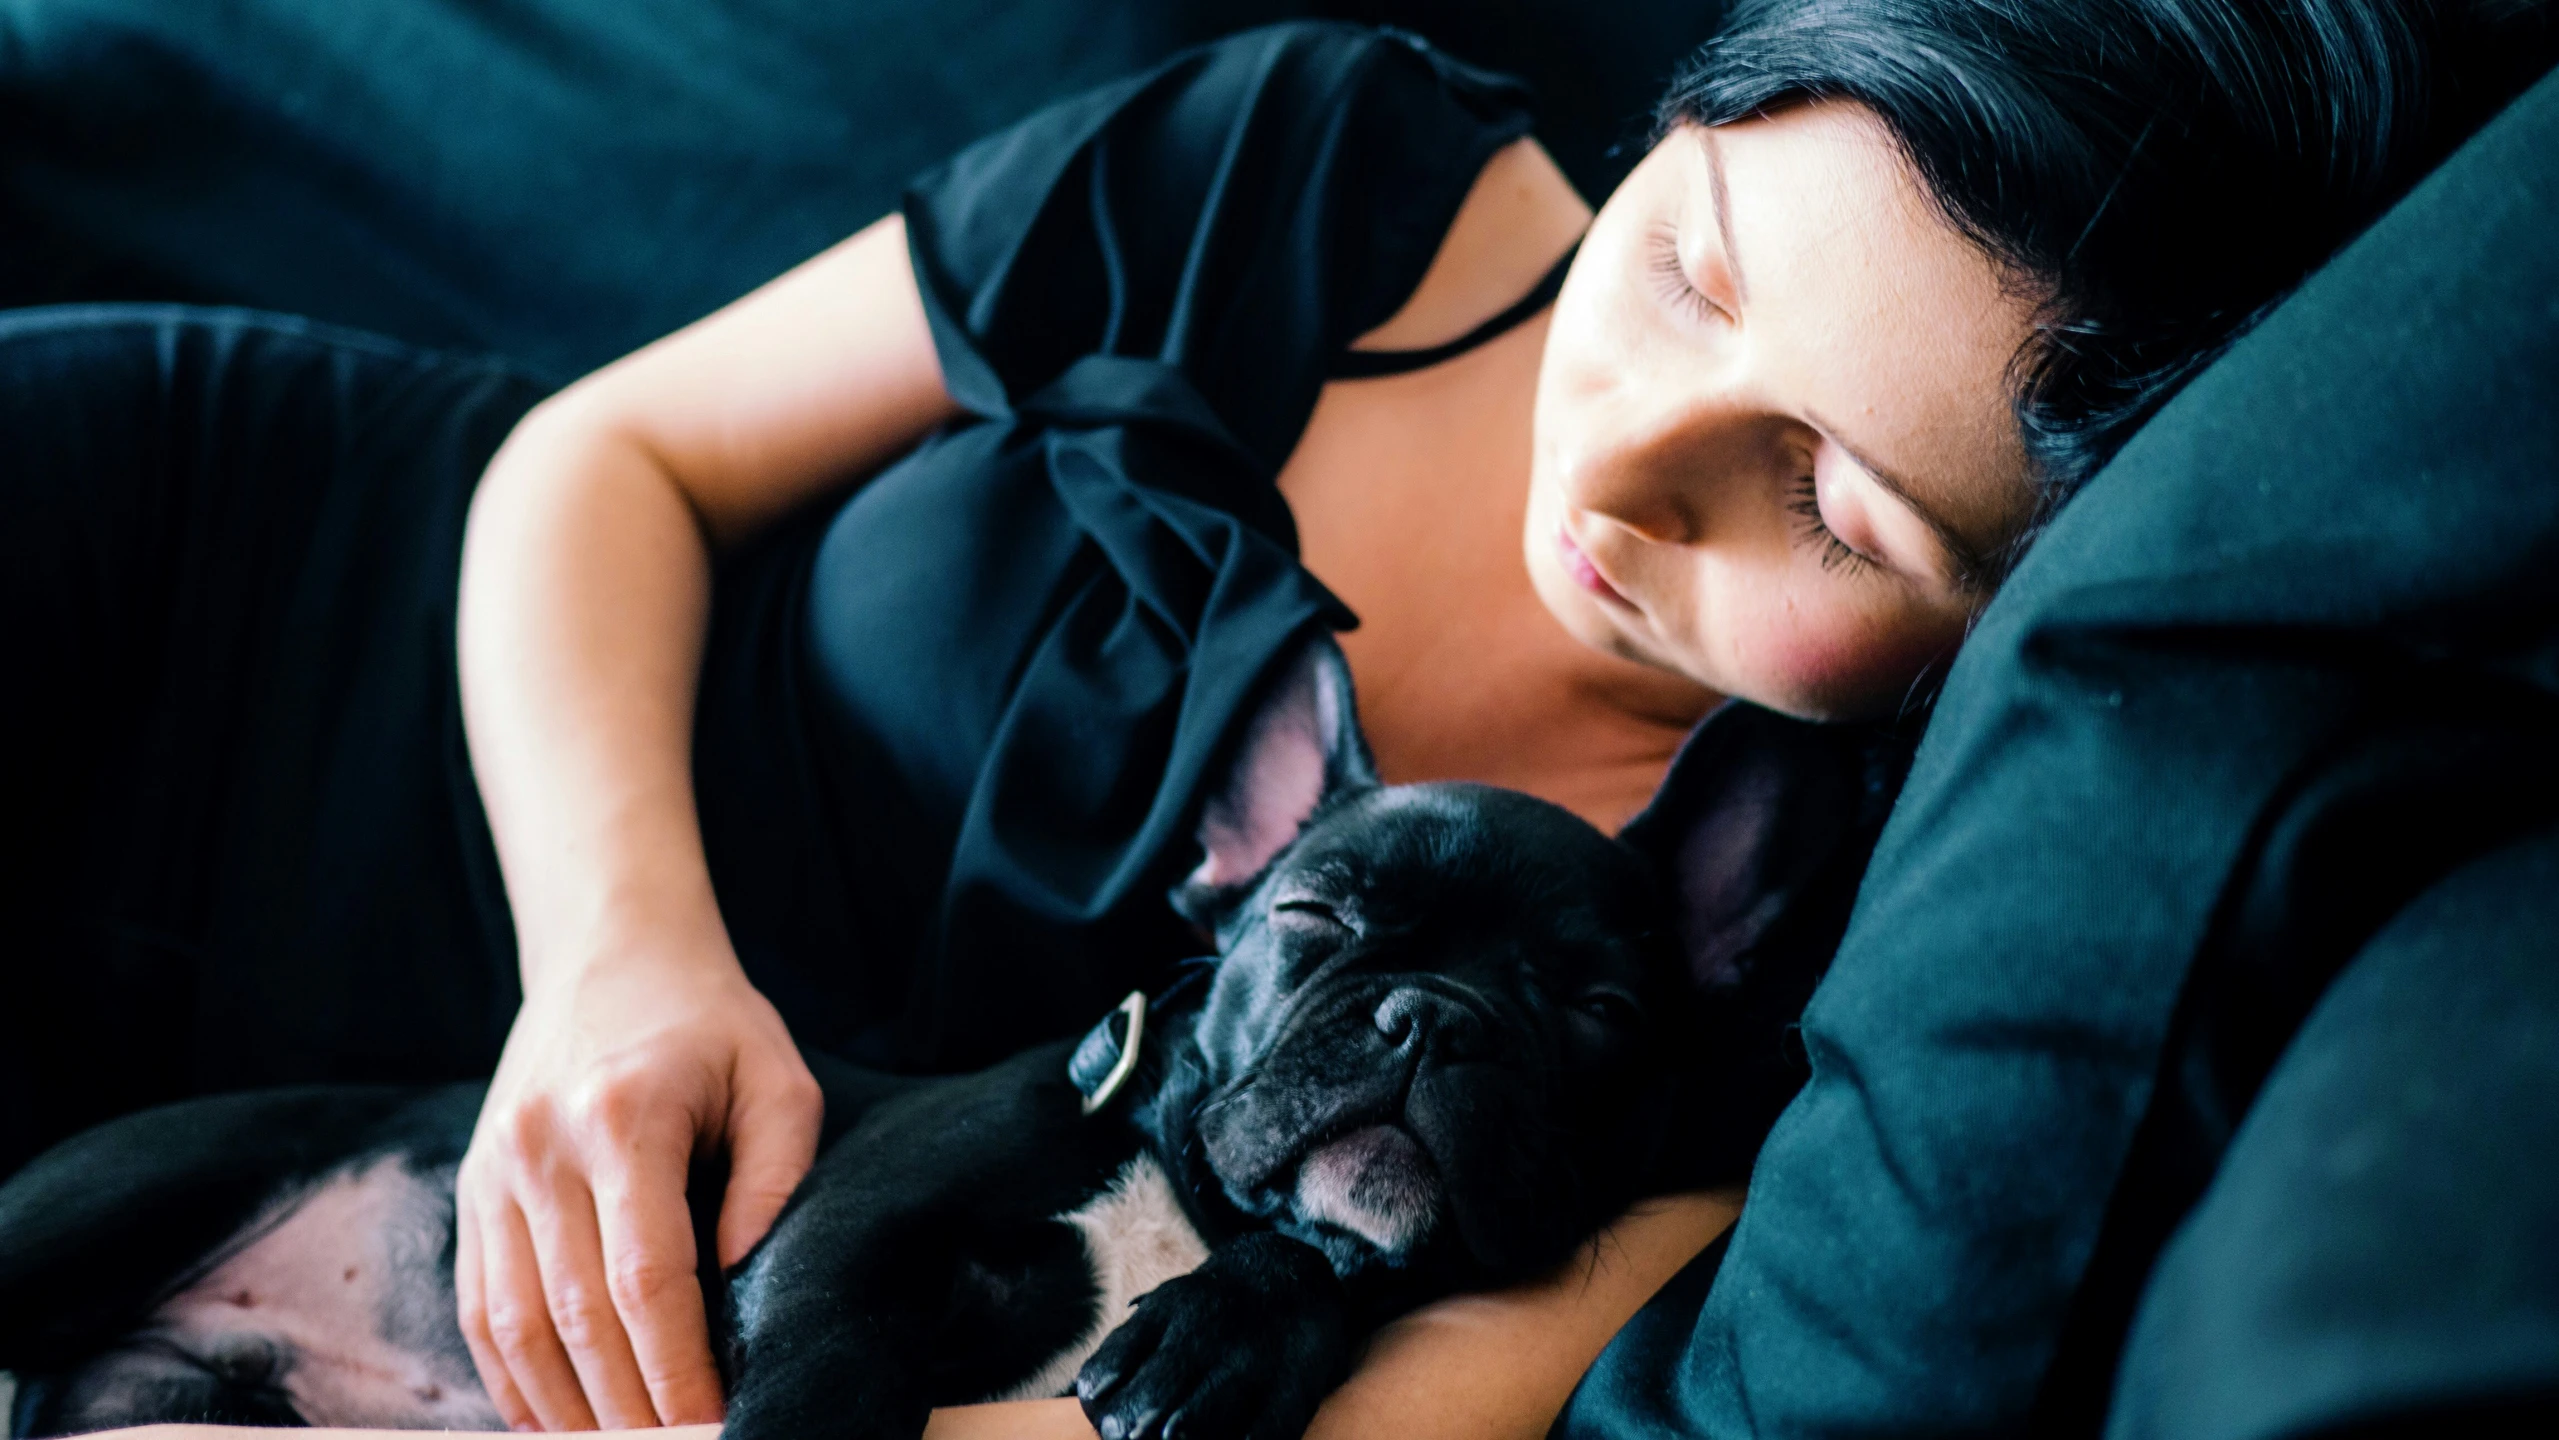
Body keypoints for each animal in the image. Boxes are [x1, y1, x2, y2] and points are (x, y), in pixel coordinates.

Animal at [0, 639, 1688, 1440]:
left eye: (1602, 1012)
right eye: (1314, 917)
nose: (1432, 1015)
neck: (1170, 1192)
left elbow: (1328, 1259)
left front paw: (1230, 1334)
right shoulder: (830, 1259)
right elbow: (826, 1389)